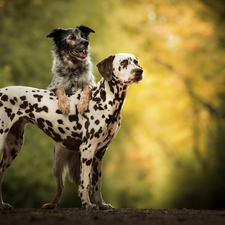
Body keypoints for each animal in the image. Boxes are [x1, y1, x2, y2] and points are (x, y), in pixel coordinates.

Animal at [0, 53, 144, 210]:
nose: (139, 71)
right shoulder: (88, 150)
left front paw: (102, 205)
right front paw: (87, 205)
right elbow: (84, 183)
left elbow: (97, 184)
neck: (104, 101)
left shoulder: (100, 153)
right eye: (123, 62)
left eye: (136, 62)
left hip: (15, 149)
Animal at [42, 25, 96, 209]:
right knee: (61, 186)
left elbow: (86, 88)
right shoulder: (52, 88)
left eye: (83, 35)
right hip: (57, 164)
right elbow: (60, 90)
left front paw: (83, 104)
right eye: (72, 37)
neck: (73, 69)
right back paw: (51, 204)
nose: (86, 42)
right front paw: (65, 104)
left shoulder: (92, 85)